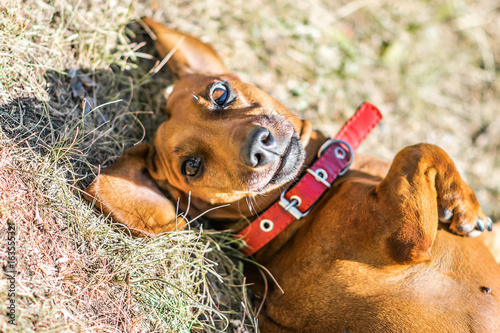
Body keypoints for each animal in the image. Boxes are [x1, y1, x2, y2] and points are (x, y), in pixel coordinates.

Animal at [85, 18, 500, 332]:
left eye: (219, 93)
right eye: (192, 166)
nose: (259, 147)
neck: (304, 201)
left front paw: (461, 201)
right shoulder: (405, 237)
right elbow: (420, 149)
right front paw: (466, 207)